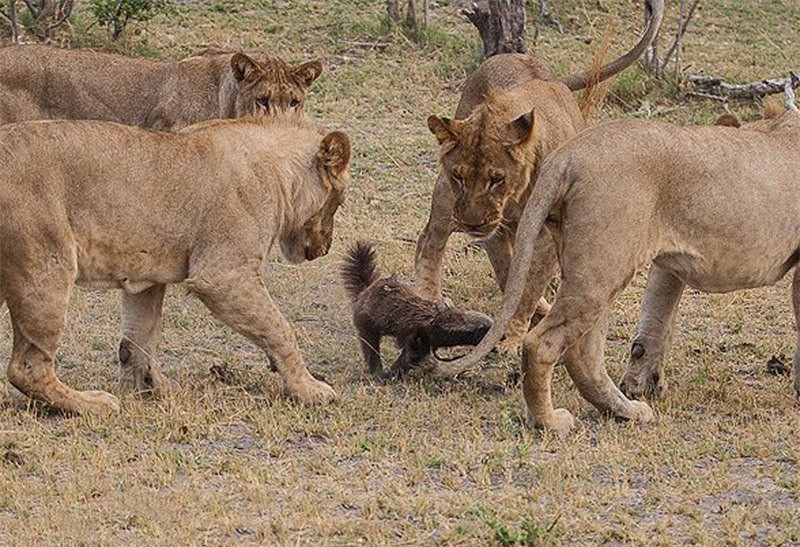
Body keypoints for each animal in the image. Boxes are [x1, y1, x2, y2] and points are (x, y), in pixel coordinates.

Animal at [0, 115, 350, 416]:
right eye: (338, 201)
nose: (325, 247)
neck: (280, 177)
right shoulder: (223, 275)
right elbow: (280, 329)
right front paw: (308, 389)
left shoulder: (145, 275)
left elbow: (139, 337)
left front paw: (152, 387)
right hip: (47, 265)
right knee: (27, 368)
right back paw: (92, 404)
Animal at [416, 0, 664, 352]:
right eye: (459, 176)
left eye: (496, 179)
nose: (472, 223)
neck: (516, 196)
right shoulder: (489, 224)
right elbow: (510, 274)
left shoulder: (543, 233)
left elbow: (528, 285)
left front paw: (513, 337)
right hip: (445, 199)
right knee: (430, 240)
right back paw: (428, 298)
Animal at [434, 106, 800, 432]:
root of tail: (570, 153)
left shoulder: (669, 265)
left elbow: (656, 320)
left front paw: (643, 384)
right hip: (602, 268)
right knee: (543, 344)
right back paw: (549, 422)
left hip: (598, 268)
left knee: (584, 354)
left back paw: (626, 411)